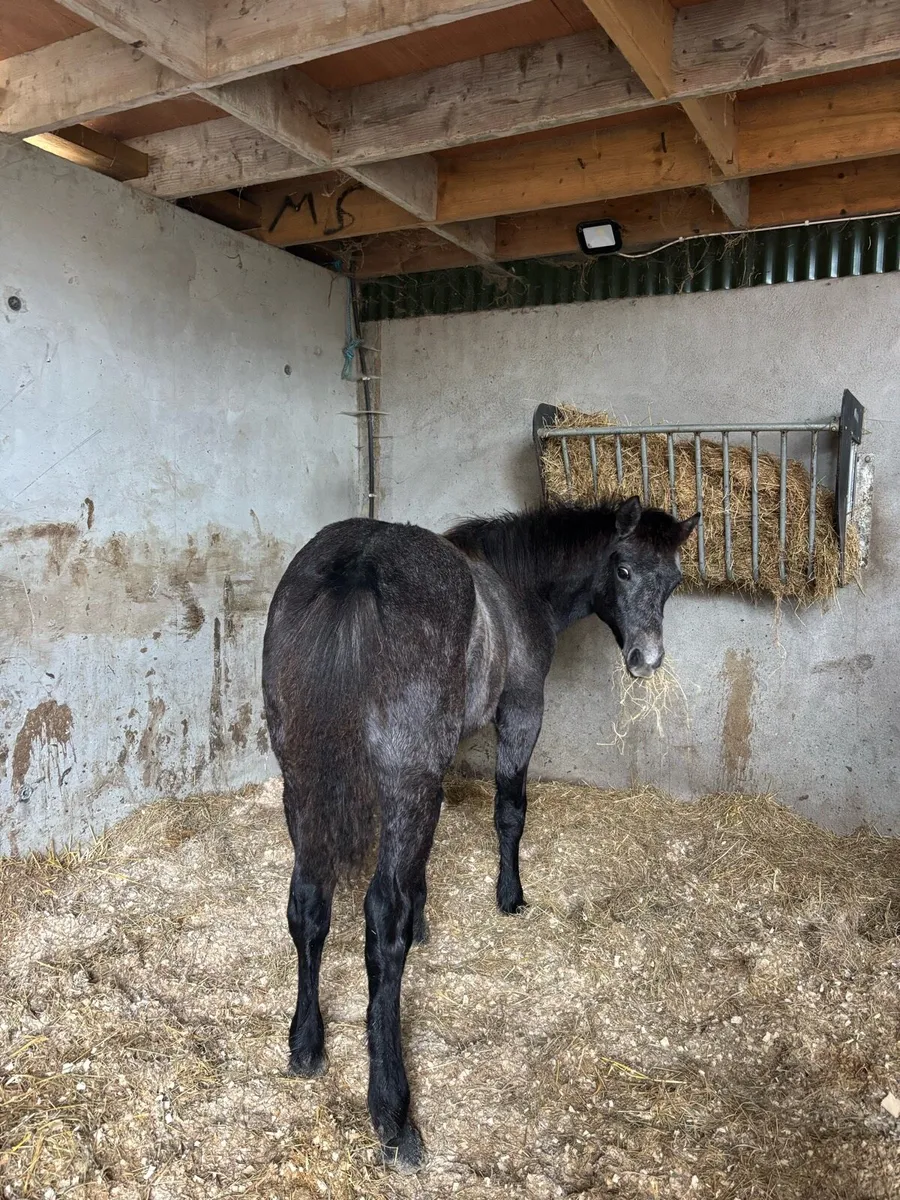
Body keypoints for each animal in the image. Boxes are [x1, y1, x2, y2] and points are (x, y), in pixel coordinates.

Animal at [262, 496, 698, 1169]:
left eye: (672, 581)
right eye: (623, 569)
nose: (647, 661)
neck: (514, 587)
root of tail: (356, 567)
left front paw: (425, 923)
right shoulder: (520, 711)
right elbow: (509, 809)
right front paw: (510, 897)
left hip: (304, 781)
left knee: (309, 901)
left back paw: (307, 1045)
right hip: (401, 781)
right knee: (377, 918)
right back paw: (394, 1116)